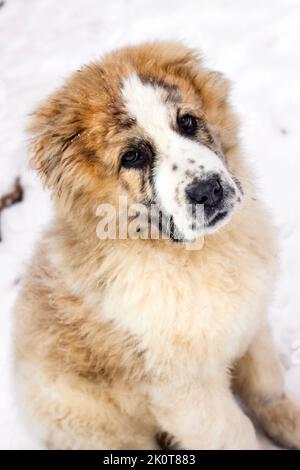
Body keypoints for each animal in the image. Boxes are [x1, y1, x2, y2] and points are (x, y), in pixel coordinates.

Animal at [14, 42, 300, 450]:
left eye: (188, 122)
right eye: (132, 156)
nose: (208, 190)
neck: (189, 255)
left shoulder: (250, 322)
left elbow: (267, 384)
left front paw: (290, 421)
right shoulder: (181, 390)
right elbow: (236, 432)